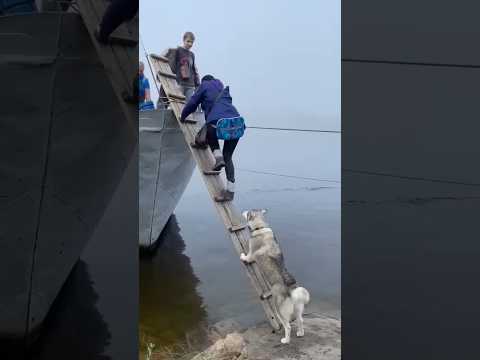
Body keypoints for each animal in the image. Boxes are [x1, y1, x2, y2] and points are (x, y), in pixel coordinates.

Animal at [240, 210, 312, 344]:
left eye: (248, 212)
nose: (243, 211)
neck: (261, 227)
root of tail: (291, 290)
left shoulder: (251, 254)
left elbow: (246, 257)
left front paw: (242, 256)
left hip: (279, 311)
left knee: (288, 326)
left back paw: (285, 340)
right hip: (297, 308)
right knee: (300, 320)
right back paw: (300, 333)